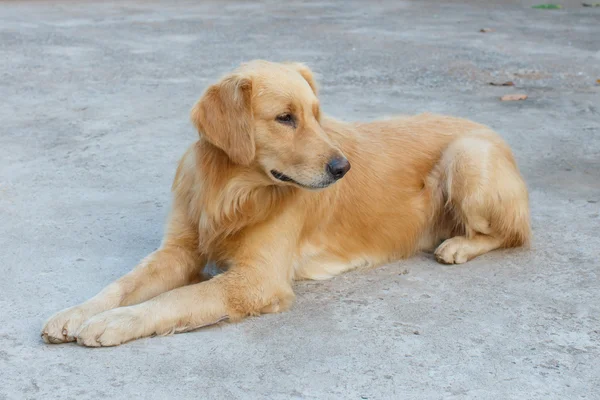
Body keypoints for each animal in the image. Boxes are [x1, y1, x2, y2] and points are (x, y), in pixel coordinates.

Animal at [42, 61, 528, 346]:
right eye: (285, 118)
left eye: (316, 115)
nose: (343, 167)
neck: (231, 191)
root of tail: (495, 133)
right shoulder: (178, 250)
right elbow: (122, 285)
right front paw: (76, 314)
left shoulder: (256, 280)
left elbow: (176, 299)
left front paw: (114, 322)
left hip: (467, 155)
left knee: (513, 234)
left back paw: (459, 245)